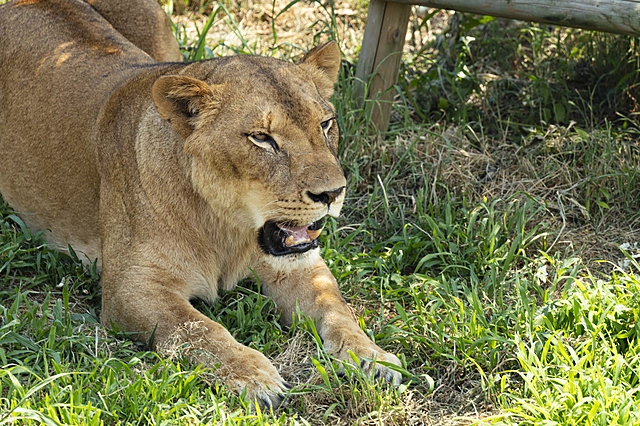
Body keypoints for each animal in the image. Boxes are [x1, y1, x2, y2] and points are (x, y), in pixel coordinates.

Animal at [0, 0, 402, 408]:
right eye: (261, 138)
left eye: (325, 124)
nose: (333, 193)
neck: (228, 227)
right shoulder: (130, 289)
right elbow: (199, 328)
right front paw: (255, 377)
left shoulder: (300, 267)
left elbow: (337, 310)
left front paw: (373, 358)